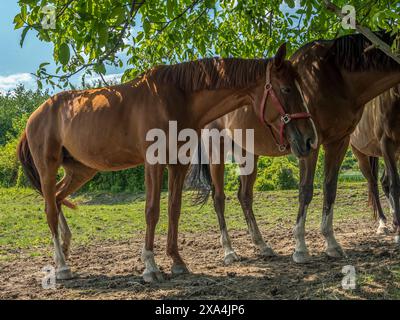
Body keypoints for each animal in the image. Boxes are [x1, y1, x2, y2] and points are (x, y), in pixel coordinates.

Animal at [17, 43, 316, 282]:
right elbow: (152, 210)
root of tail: (35, 114)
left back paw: (64, 252)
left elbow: (174, 208)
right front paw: (150, 266)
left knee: (57, 198)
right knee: (49, 208)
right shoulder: (154, 163)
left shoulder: (178, 164)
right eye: (286, 88)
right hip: (48, 167)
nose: (310, 139)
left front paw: (176, 261)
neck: (177, 97)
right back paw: (62, 266)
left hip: (81, 171)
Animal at [350, 84, 400, 239]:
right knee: (374, 184)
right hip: (361, 154)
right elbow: (395, 183)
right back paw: (383, 223)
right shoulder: (386, 143)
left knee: (384, 181)